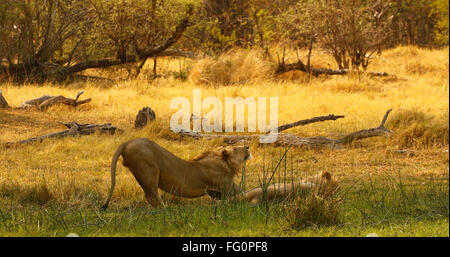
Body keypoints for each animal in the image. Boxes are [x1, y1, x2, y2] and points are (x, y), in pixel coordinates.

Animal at [100, 138, 251, 208]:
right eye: (236, 148)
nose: (248, 146)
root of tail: (127, 142)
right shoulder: (226, 186)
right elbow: (244, 192)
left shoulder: (216, 192)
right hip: (149, 171)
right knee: (152, 197)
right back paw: (167, 210)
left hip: (140, 174)